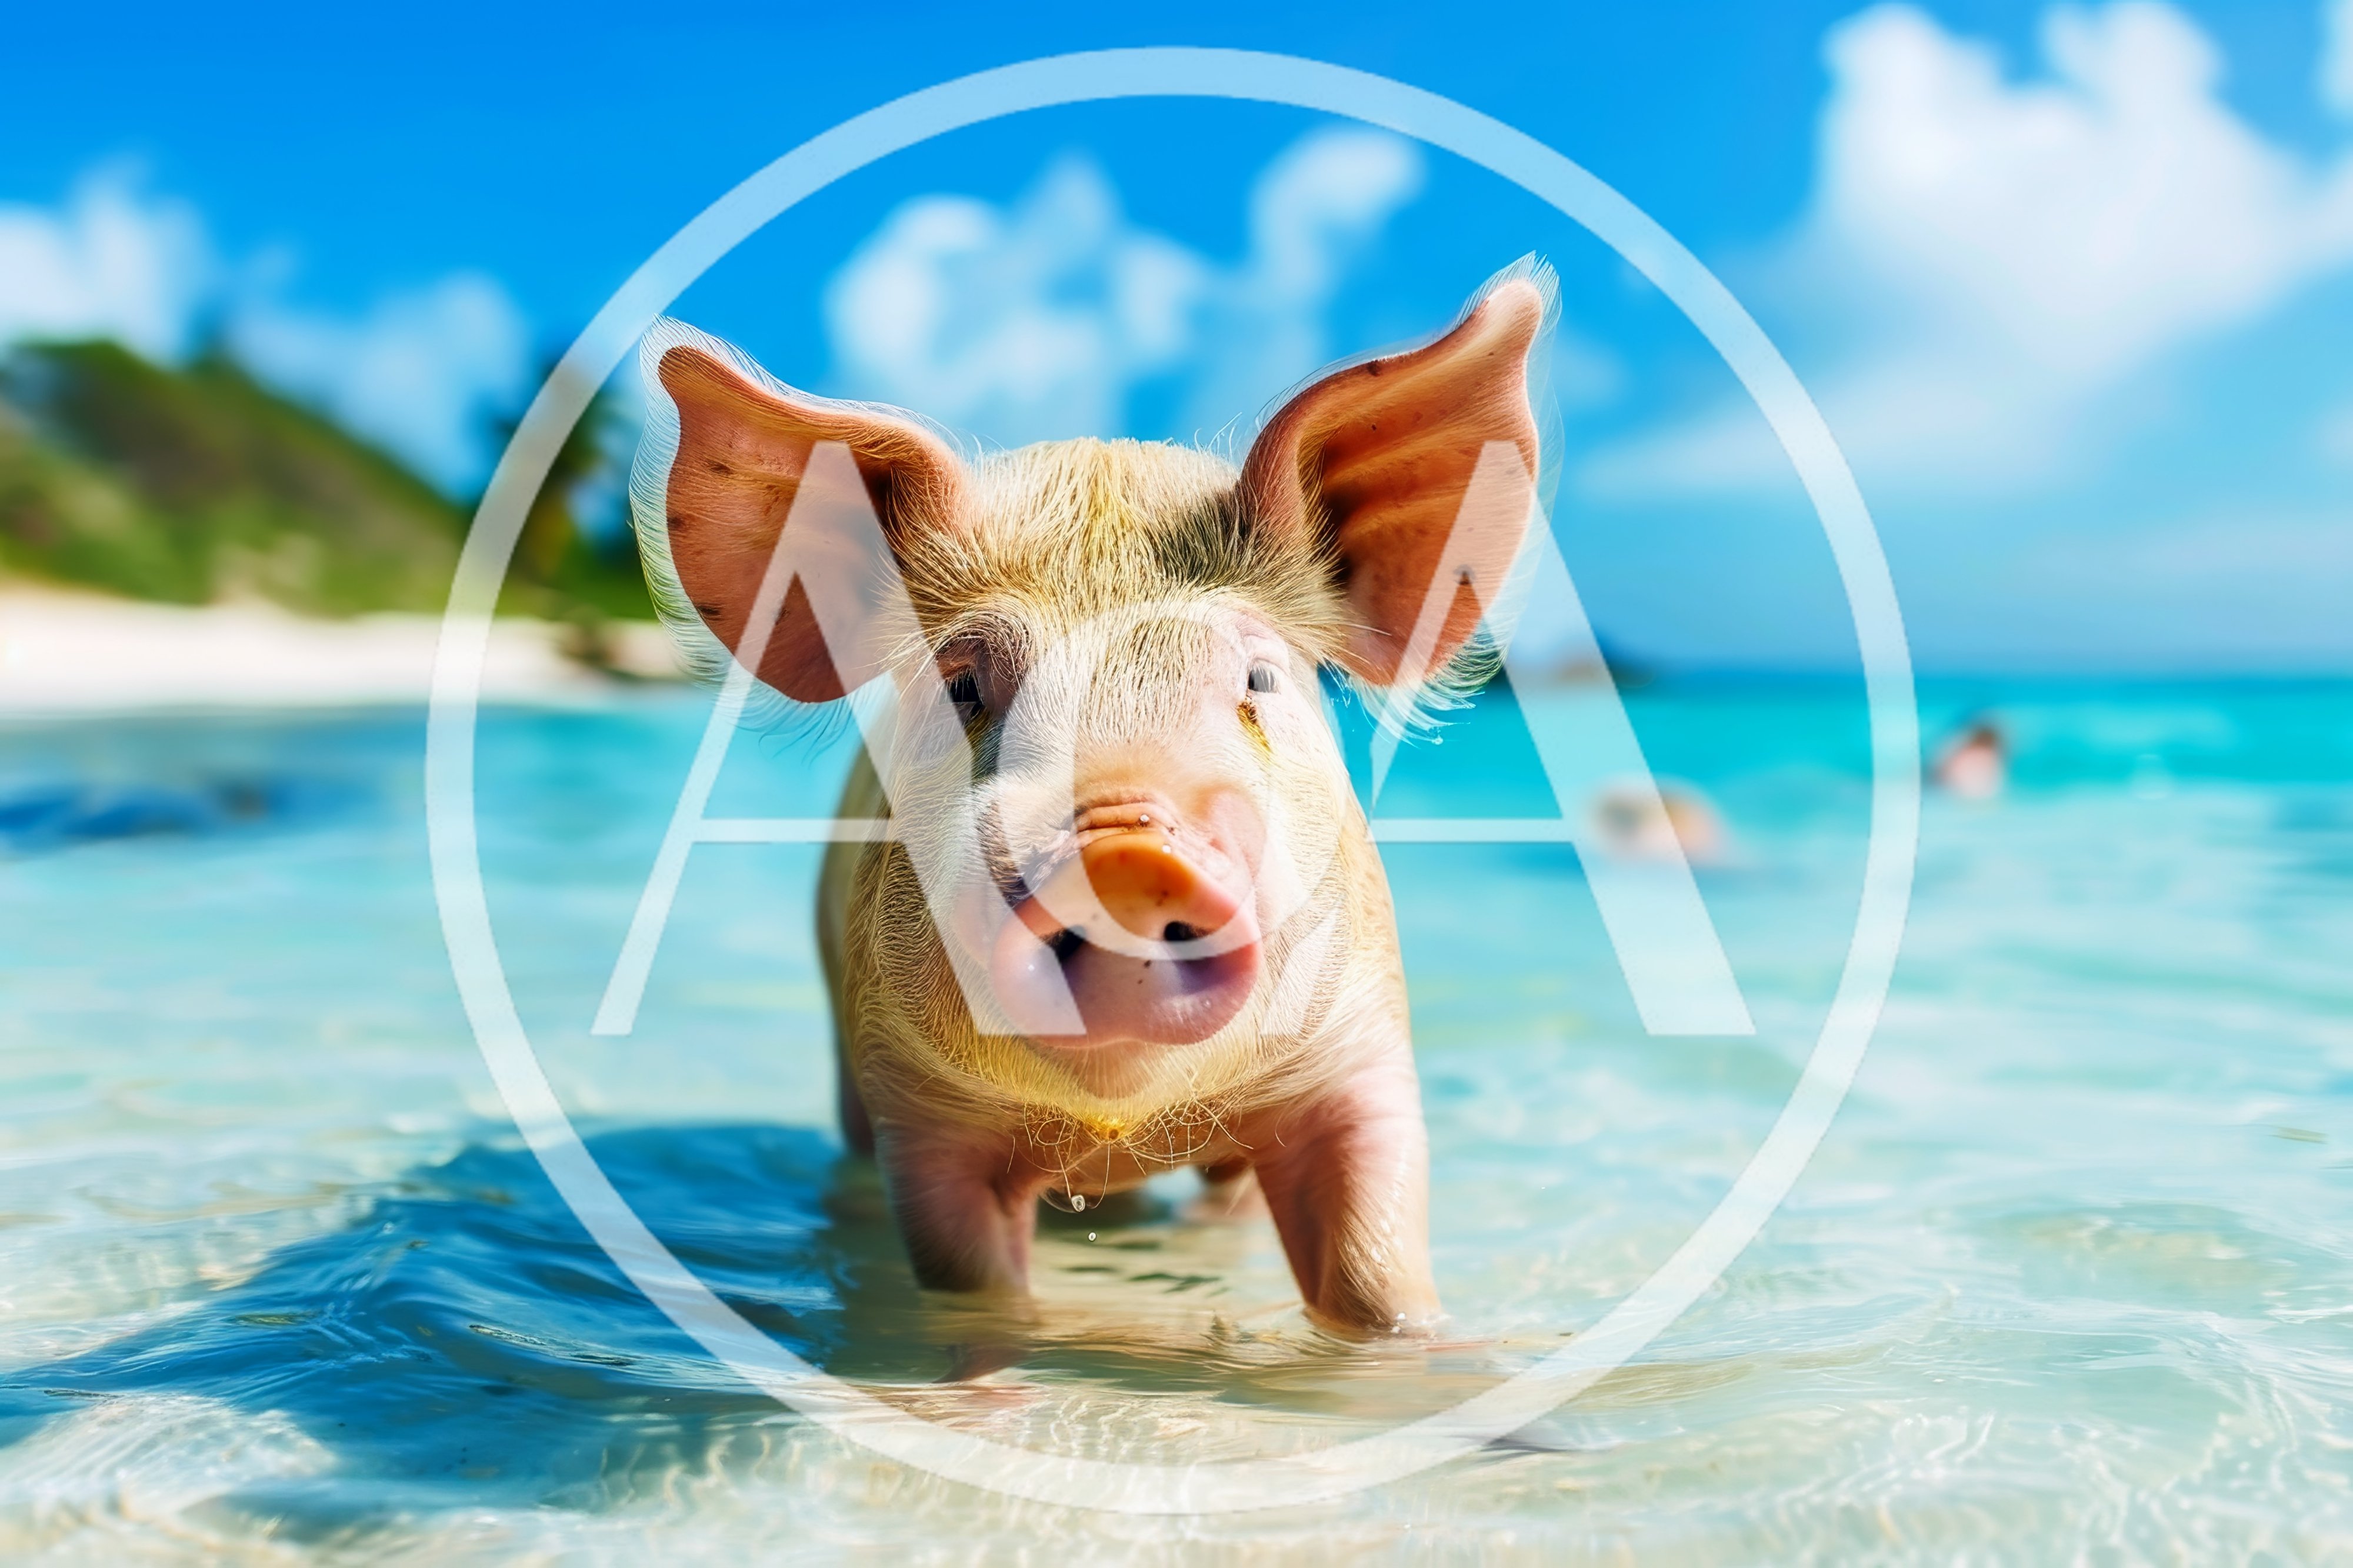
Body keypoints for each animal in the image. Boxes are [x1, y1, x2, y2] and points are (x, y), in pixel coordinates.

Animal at [634, 262, 1551, 1335]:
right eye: (963, 686)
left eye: (1259, 681)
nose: (1124, 848)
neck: (1115, 1125)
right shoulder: (916, 1106)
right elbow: (972, 1281)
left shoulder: (1360, 1052)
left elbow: (1377, 1270)